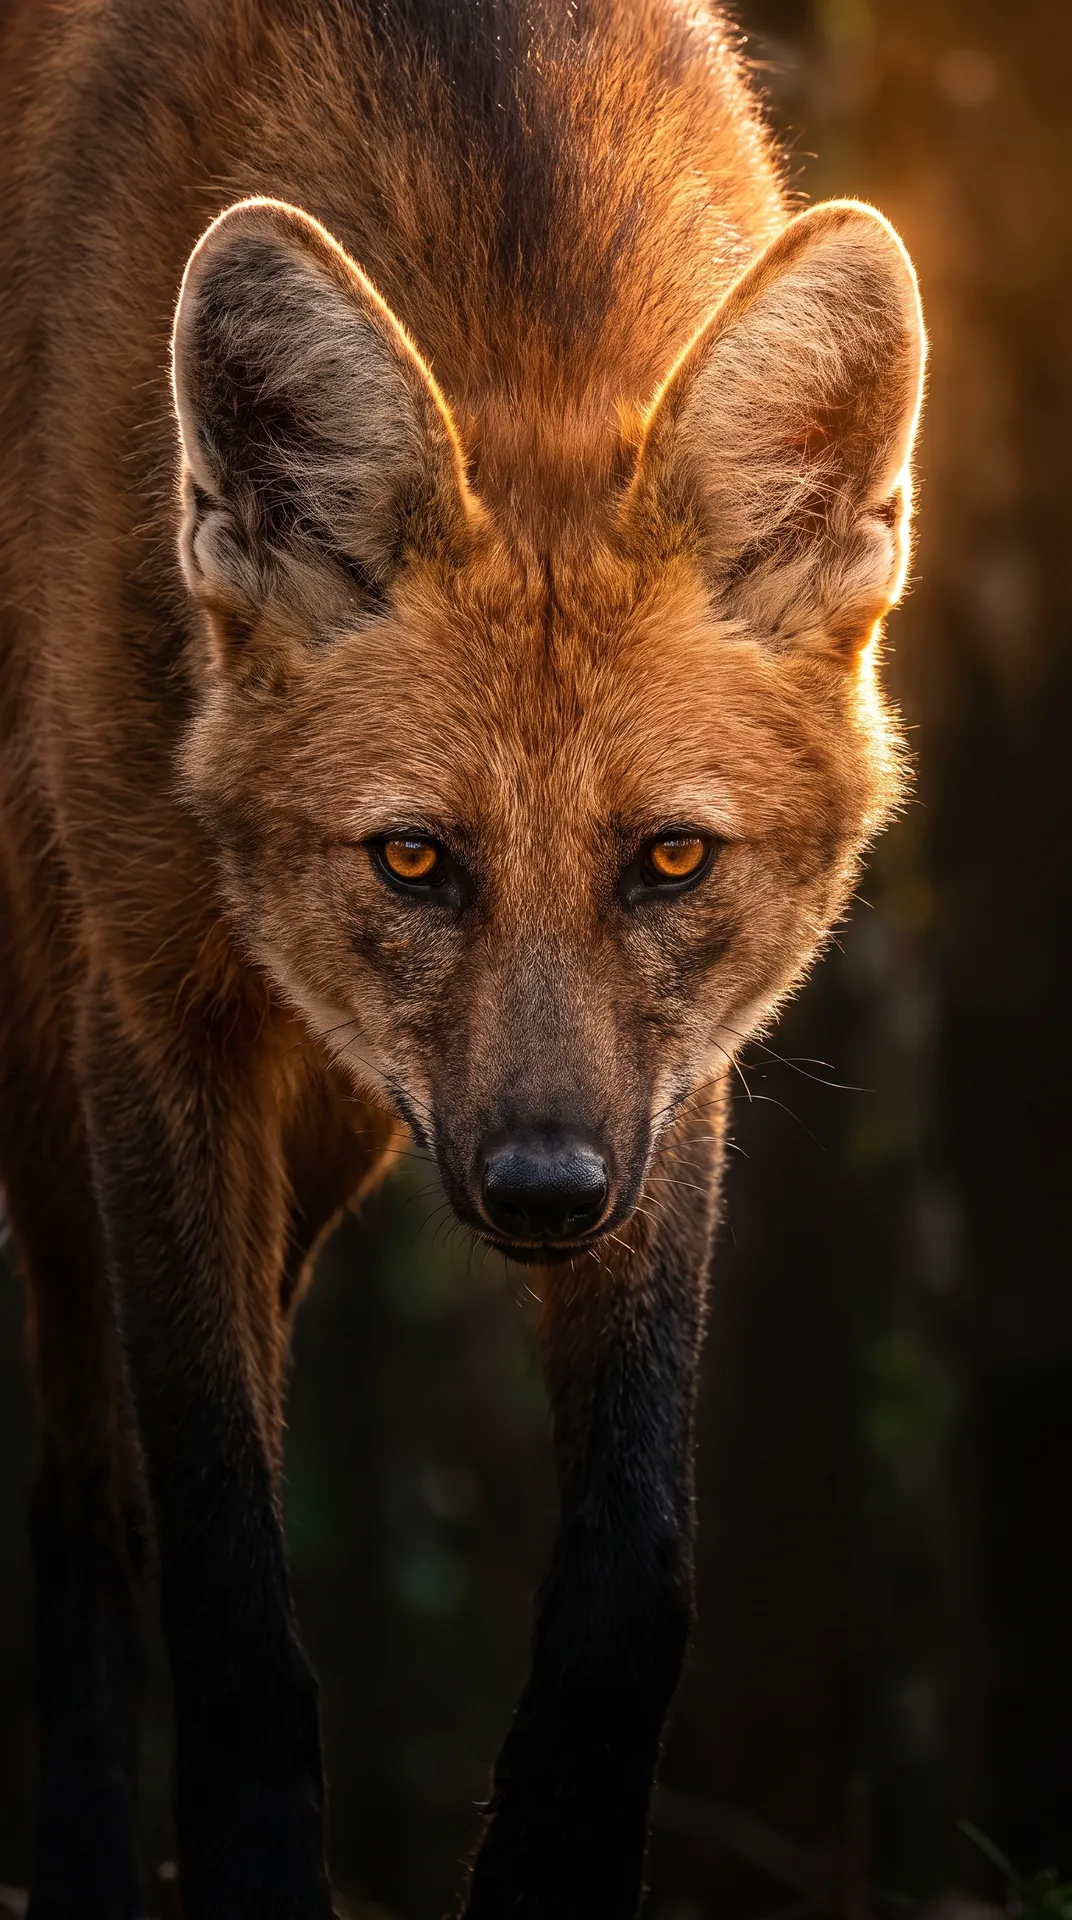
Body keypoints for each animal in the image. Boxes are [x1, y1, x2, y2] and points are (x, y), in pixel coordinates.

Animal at [0, 0, 924, 1913]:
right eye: (416, 858)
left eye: (669, 860)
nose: (542, 1190)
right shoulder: (156, 1010)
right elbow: (226, 1592)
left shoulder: (664, 1092)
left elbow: (630, 1586)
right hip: (57, 1034)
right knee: (83, 1498)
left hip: (342, 1131)